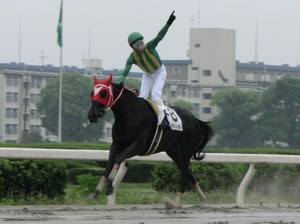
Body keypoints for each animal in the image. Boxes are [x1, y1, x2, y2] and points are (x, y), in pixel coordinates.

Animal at [86, 75, 213, 206]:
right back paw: (203, 199)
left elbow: (118, 159)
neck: (130, 115)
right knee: (188, 173)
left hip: (185, 151)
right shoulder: (116, 144)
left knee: (184, 173)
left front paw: (109, 187)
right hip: (173, 152)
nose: (92, 115)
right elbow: (109, 165)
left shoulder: (138, 146)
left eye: (103, 93)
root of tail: (195, 119)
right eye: (92, 93)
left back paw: (176, 202)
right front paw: (95, 193)